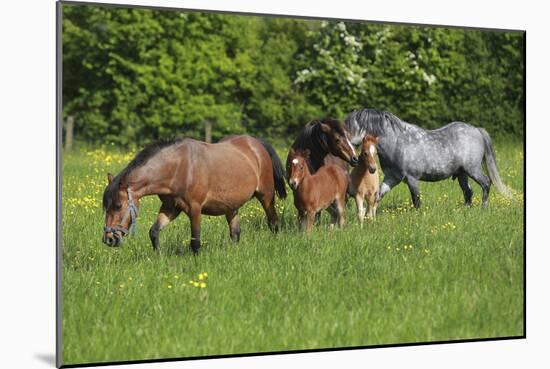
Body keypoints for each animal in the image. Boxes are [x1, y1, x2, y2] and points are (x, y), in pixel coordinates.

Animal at [102, 135, 288, 253]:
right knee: (235, 233)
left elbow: (195, 242)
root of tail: (256, 144)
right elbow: (154, 232)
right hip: (231, 206)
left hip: (266, 196)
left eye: (118, 206)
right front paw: (158, 257)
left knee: (274, 223)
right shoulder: (171, 208)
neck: (178, 168)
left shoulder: (195, 209)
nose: (108, 239)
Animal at [348, 108, 516, 208]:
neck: (397, 143)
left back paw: (484, 207)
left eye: (351, 126)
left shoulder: (412, 179)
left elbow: (416, 200)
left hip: (472, 169)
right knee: (468, 192)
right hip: (462, 173)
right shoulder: (392, 178)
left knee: (486, 183)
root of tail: (477, 130)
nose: (352, 157)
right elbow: (378, 196)